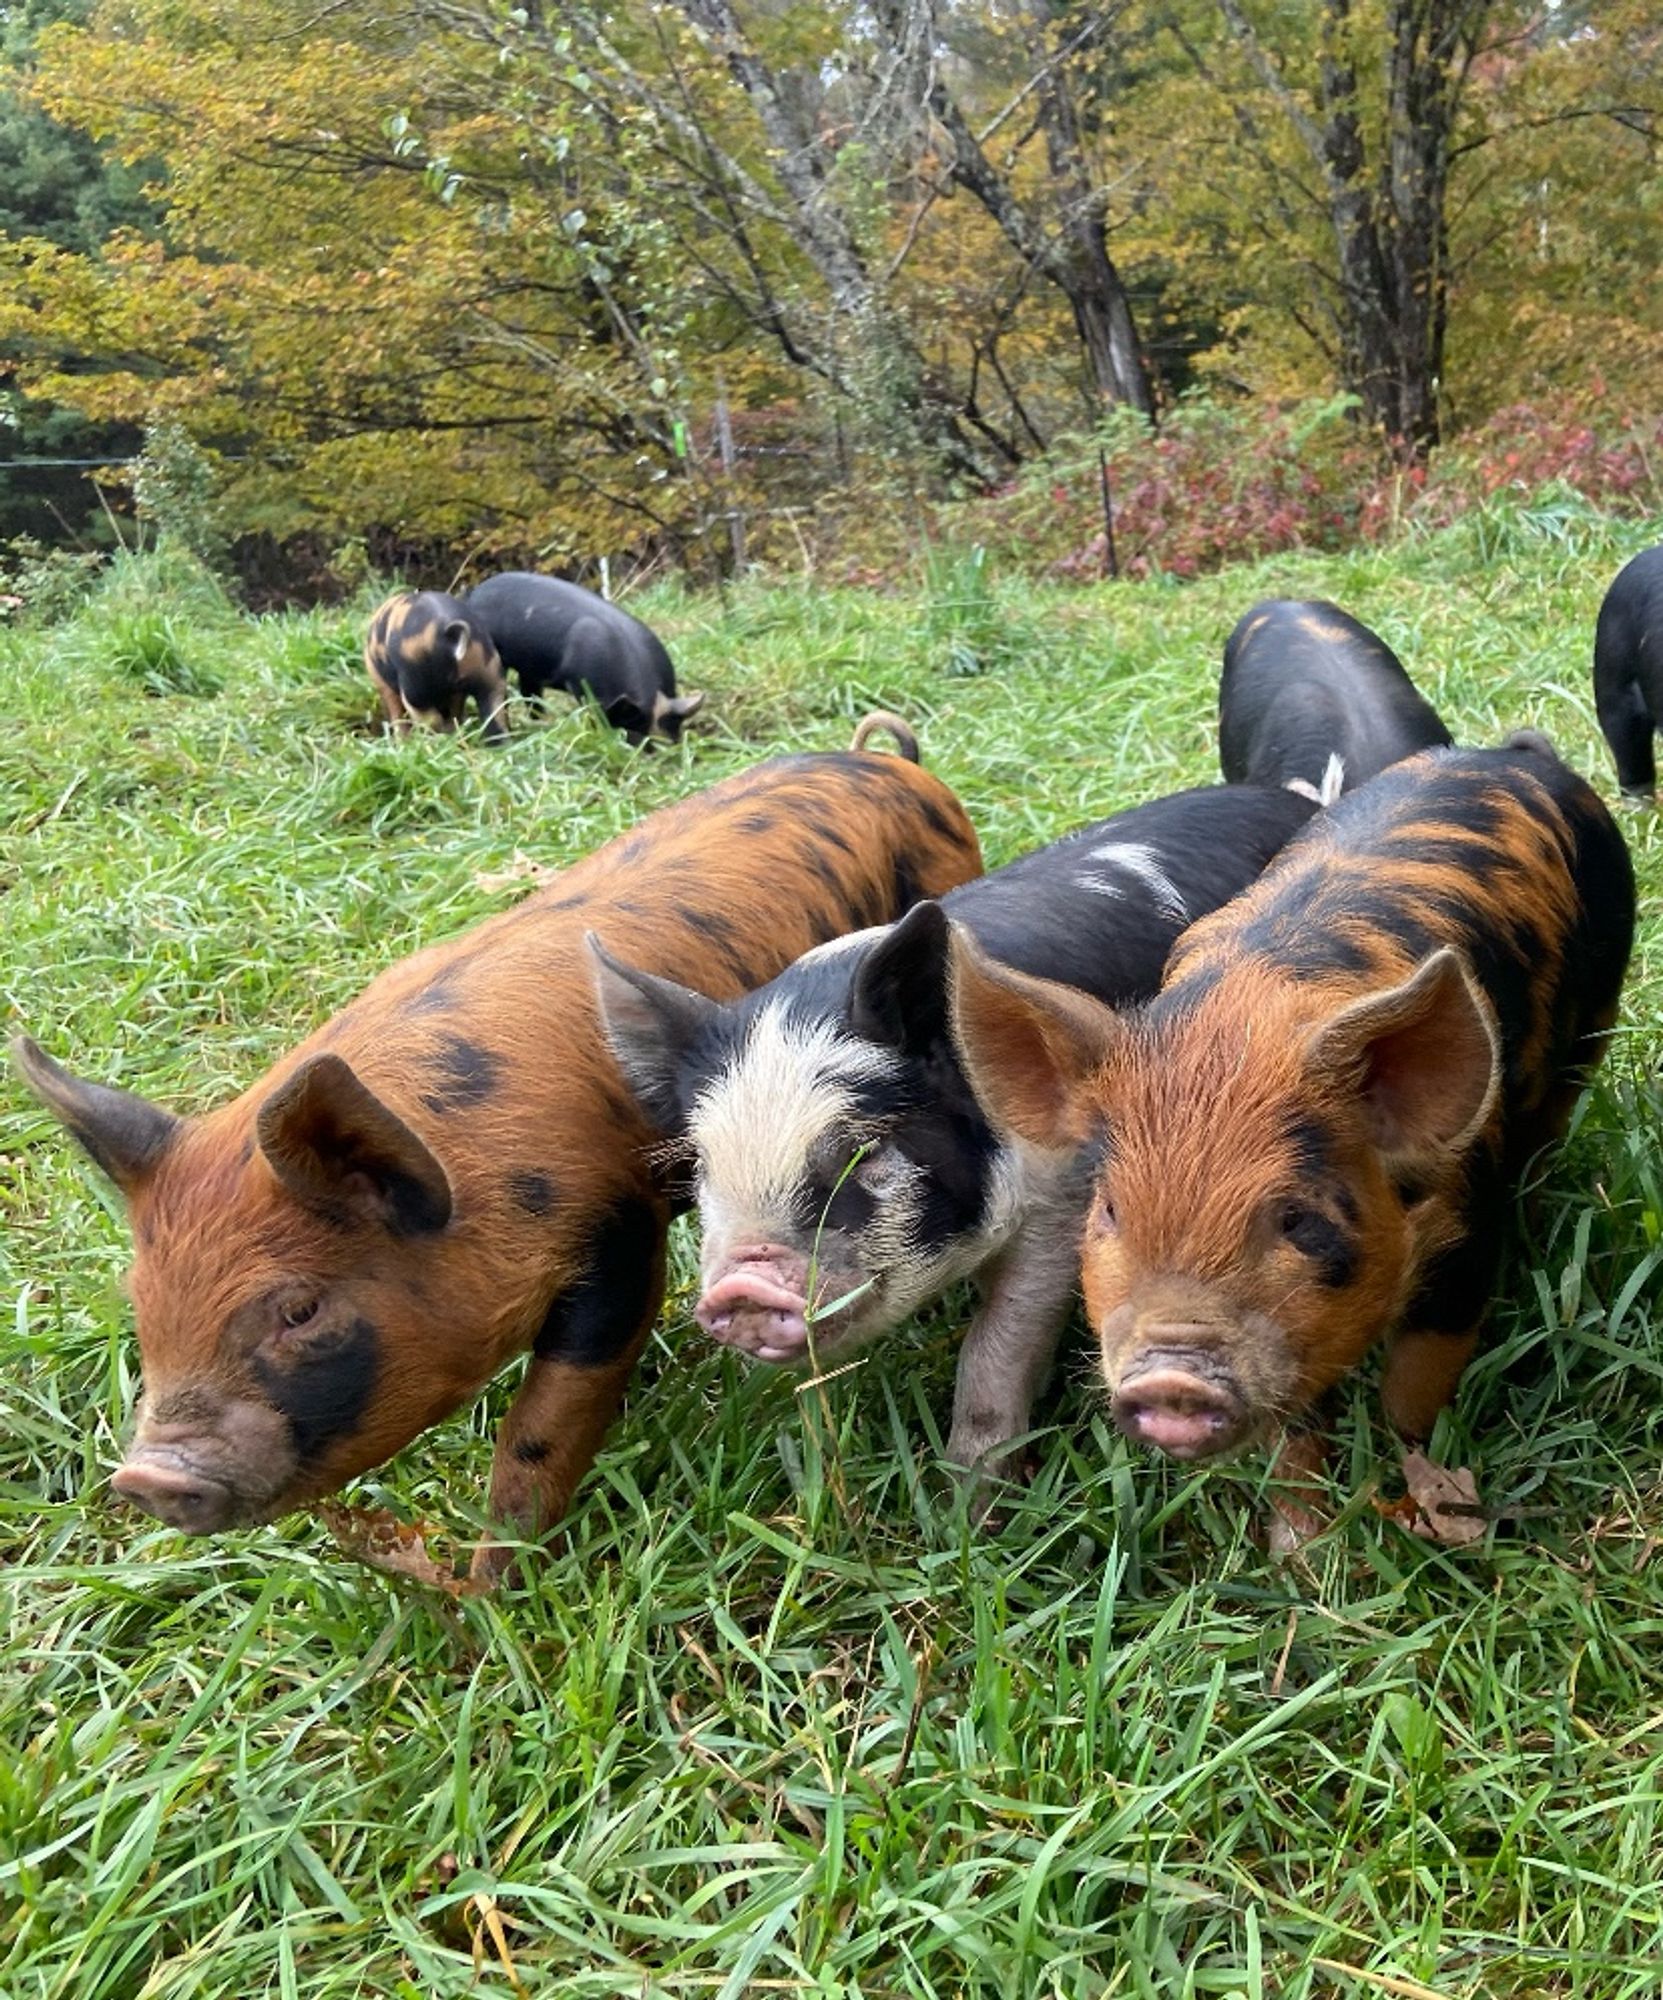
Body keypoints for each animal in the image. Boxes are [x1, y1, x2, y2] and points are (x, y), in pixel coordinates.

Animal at [467, 572, 703, 744]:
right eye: (635, 734)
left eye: (675, 734)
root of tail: (475, 593)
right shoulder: (582, 686)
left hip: (530, 668)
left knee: (530, 691)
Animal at [591, 780, 1319, 1488]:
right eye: (702, 1165)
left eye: (862, 1150)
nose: (741, 1285)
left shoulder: (1063, 1197)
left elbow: (997, 1347)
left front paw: (971, 1497)